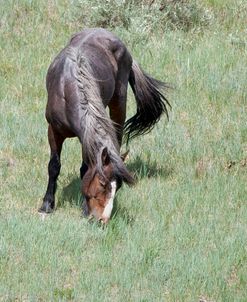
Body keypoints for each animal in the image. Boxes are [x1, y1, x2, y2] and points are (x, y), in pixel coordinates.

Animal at [39, 27, 170, 224]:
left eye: (118, 187)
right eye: (102, 183)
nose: (103, 219)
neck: (67, 89)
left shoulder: (85, 137)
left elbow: (85, 169)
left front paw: (84, 208)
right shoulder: (54, 130)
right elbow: (54, 166)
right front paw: (47, 205)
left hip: (119, 103)